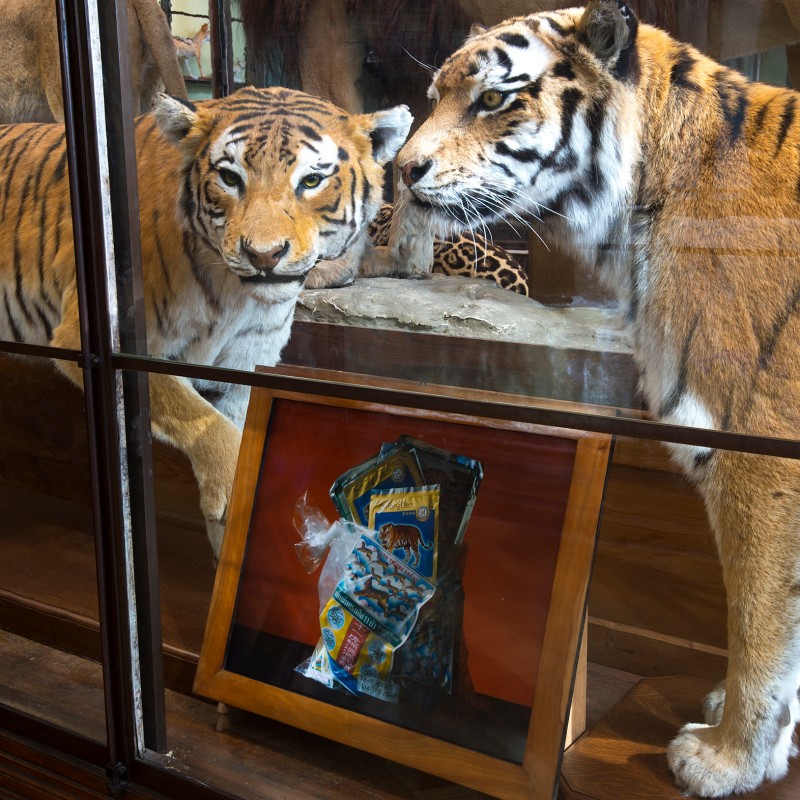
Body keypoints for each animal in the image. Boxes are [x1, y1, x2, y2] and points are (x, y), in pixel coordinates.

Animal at [0, 85, 411, 558]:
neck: (235, 297)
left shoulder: (244, 365)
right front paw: (234, 491)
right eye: (230, 179)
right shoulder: (111, 347)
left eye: (311, 181)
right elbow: (198, 417)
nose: (264, 255)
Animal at [392, 1, 800, 795]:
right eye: (434, 97)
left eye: (493, 99)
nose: (401, 169)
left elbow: (762, 625)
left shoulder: (761, 455)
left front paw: (729, 758)